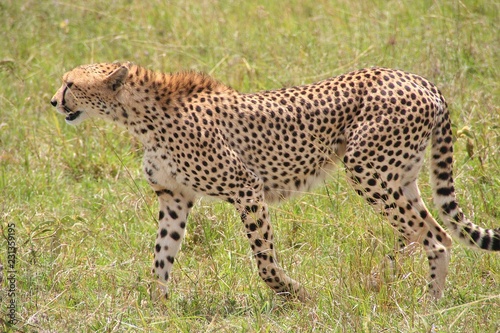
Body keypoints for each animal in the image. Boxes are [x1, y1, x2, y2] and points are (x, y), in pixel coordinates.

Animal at [51, 61, 500, 300]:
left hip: (367, 169)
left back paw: (416, 298)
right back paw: (396, 285)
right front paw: (157, 307)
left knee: (430, 236)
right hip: (398, 176)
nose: (52, 101)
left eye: (71, 83)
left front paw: (293, 293)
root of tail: (419, 80)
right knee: (427, 232)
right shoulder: (174, 198)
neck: (140, 116)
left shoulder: (246, 187)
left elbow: (264, 260)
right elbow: (161, 257)